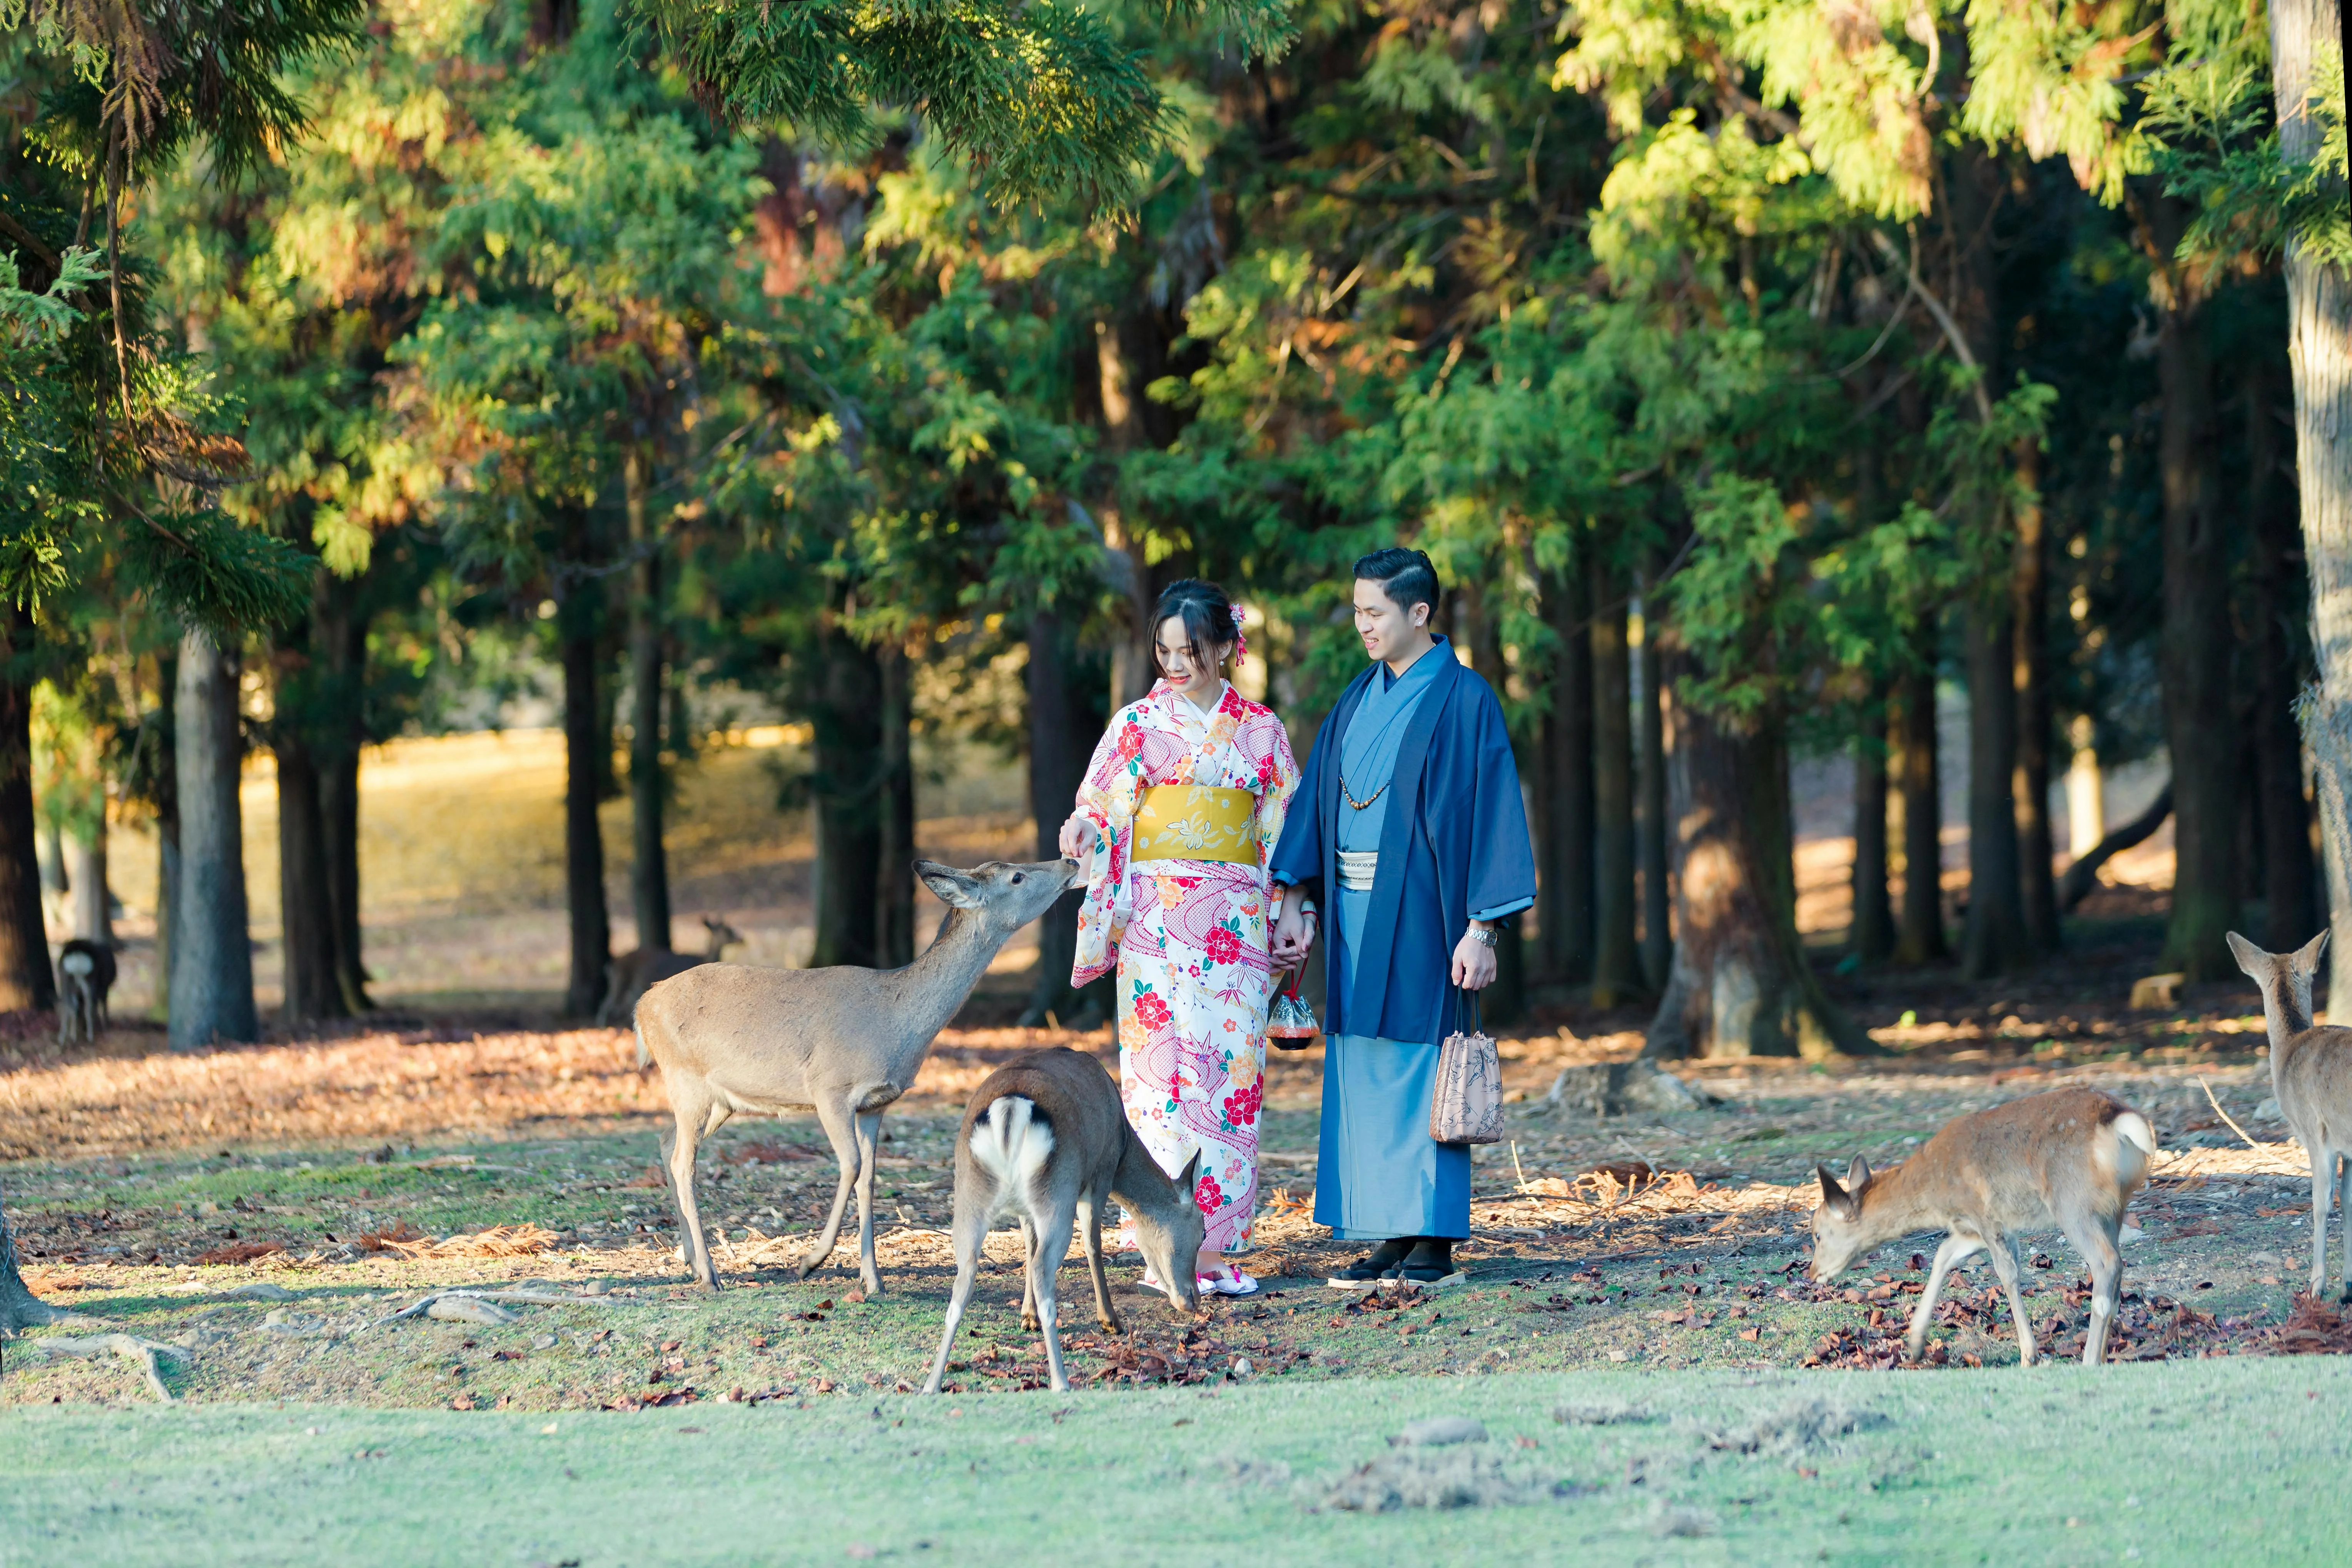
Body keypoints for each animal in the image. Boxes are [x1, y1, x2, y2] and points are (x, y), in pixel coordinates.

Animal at [602, 907, 748, 1029]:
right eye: (728, 930)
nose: (741, 938)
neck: (702, 959)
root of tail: (611, 966)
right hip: (620, 981)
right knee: (608, 1005)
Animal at [635, 865, 1077, 1297]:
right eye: (1017, 877)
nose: (1069, 863)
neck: (897, 1025)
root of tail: (642, 1006)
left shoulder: (876, 1104)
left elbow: (868, 1178)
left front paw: (873, 1280)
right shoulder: (829, 1088)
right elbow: (850, 1164)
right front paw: (811, 1261)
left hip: (720, 1099)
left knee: (666, 1142)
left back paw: (692, 1261)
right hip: (685, 1078)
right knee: (683, 1161)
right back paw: (710, 1274)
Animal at [922, 1048, 1204, 1391]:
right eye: (1203, 1231)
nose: (1194, 1299)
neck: (1123, 1144)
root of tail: (1011, 1109)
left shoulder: (1026, 1209)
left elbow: (1028, 1246)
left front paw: (1026, 1316)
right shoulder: (1099, 1176)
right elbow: (1093, 1245)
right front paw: (1111, 1321)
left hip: (970, 1194)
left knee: (964, 1281)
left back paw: (932, 1382)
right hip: (1059, 1189)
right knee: (1044, 1268)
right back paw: (1061, 1380)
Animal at [1806, 1086, 2154, 1363]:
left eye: (1818, 1234)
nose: (1812, 1273)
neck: (1935, 1194)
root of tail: (2120, 1120)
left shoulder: (1984, 1213)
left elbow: (2007, 1272)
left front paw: (2029, 1355)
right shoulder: (1973, 1226)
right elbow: (1944, 1255)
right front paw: (1916, 1345)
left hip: (2073, 1202)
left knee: (2106, 1262)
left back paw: (2089, 1360)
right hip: (2114, 1205)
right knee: (2118, 1264)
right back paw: (2103, 1354)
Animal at [2220, 926, 2352, 1307]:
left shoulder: (2315, 1133)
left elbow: (2321, 1204)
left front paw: (2316, 1286)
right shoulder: (2345, 1146)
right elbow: (2348, 1204)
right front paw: (2346, 1286)